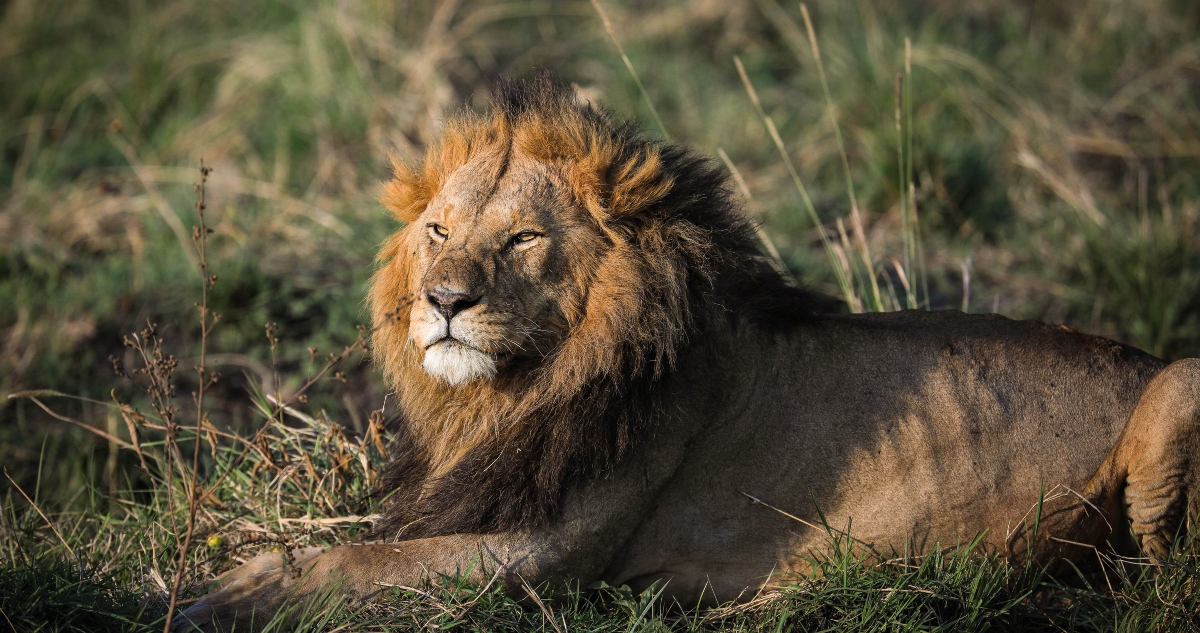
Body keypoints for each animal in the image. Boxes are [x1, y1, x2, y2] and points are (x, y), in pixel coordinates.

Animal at [176, 74, 1200, 631]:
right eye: (437, 231)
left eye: (523, 239)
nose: (444, 302)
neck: (505, 394)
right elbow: (357, 543)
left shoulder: (543, 556)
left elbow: (355, 565)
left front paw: (216, 595)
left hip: (1179, 388)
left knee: (1162, 578)